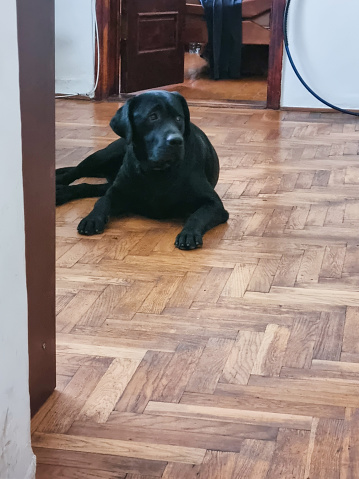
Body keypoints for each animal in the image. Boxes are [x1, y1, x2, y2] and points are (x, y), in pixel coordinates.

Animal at [57, 89, 229, 251]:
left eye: (178, 118)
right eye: (153, 116)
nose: (176, 141)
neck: (156, 171)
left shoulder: (215, 205)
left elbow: (198, 215)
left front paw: (189, 233)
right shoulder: (117, 192)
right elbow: (102, 201)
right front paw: (92, 219)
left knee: (88, 186)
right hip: (103, 155)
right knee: (76, 171)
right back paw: (58, 186)